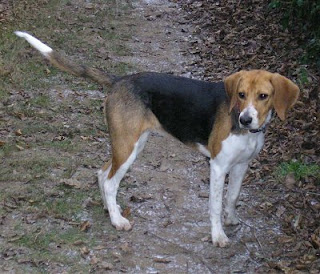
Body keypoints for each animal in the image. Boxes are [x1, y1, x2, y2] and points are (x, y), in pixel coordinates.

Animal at [15, 31, 300, 247]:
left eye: (263, 96)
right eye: (240, 95)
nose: (245, 120)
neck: (247, 132)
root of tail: (120, 80)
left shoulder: (241, 165)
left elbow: (232, 197)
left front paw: (231, 219)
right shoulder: (218, 167)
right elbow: (215, 205)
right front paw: (218, 235)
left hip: (131, 144)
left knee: (102, 173)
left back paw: (110, 209)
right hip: (128, 146)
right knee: (109, 181)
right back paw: (118, 220)